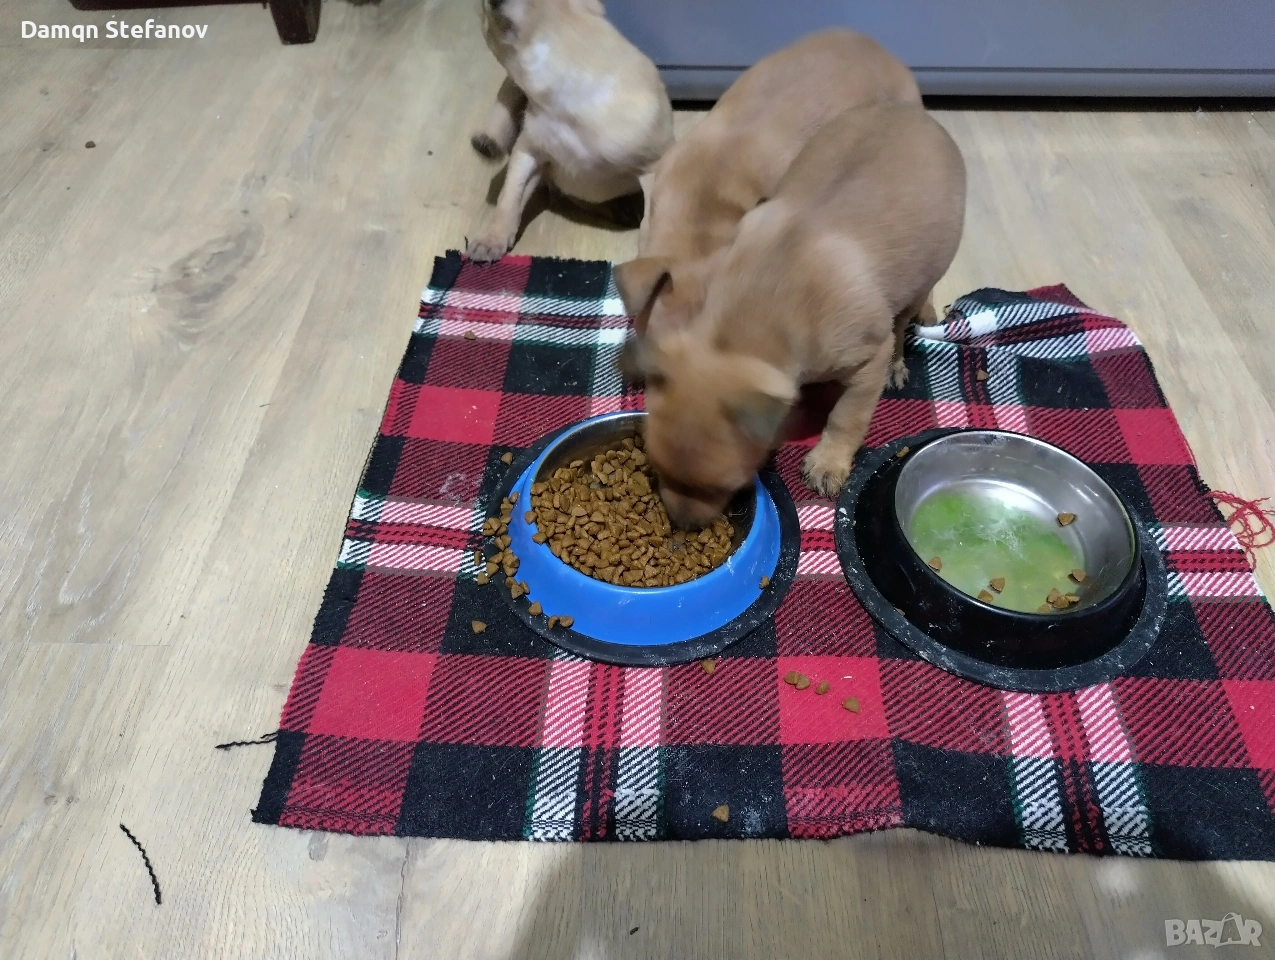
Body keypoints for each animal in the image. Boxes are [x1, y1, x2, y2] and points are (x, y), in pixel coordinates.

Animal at [466, 0, 673, 261]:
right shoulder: (528, 152)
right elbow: (510, 196)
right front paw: (493, 238)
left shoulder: (654, 168)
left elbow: (650, 222)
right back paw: (488, 142)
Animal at [620, 103, 966, 528]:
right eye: (656, 469)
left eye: (726, 487)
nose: (683, 525)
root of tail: (914, 113)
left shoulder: (868, 359)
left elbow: (847, 416)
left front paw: (828, 462)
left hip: (923, 275)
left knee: (904, 320)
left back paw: (899, 363)